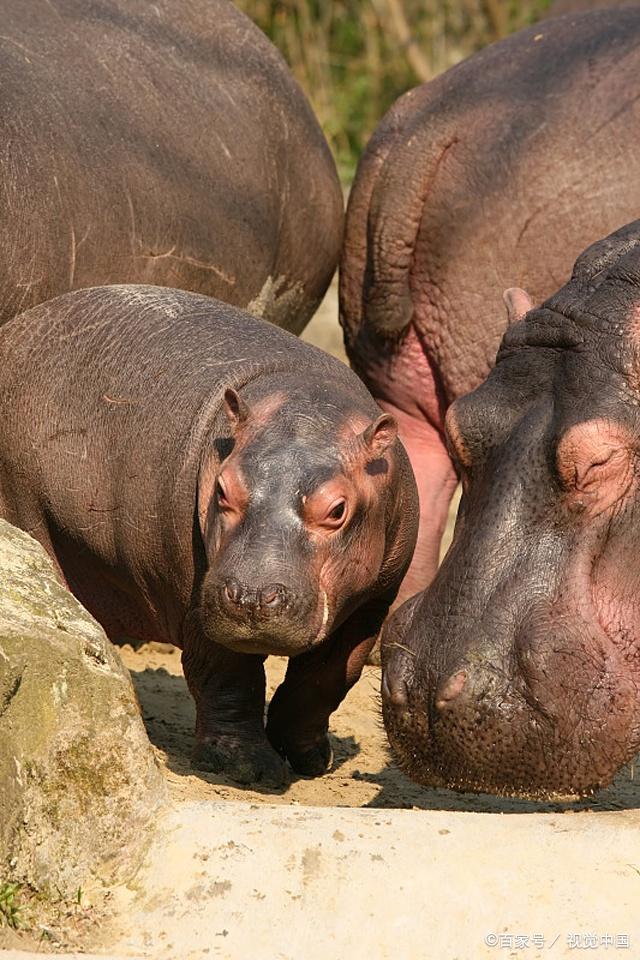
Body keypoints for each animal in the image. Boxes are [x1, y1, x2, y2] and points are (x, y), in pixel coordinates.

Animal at [0, 284, 418, 788]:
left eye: (337, 509)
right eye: (222, 488)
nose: (252, 596)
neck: (308, 407)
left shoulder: (372, 603)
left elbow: (326, 678)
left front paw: (310, 759)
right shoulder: (197, 588)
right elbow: (227, 673)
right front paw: (247, 768)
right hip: (24, 507)